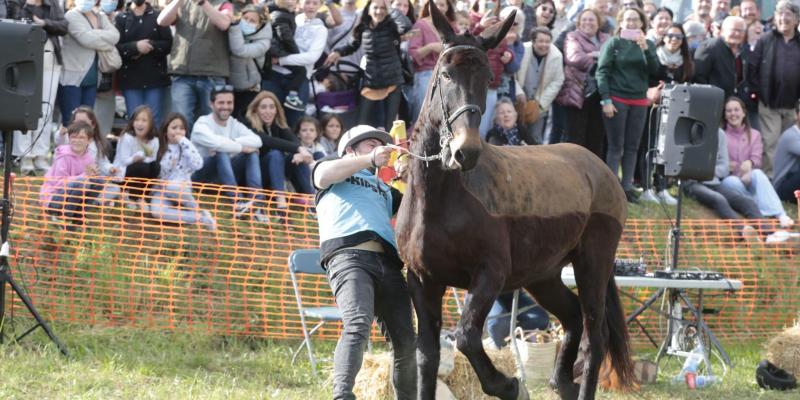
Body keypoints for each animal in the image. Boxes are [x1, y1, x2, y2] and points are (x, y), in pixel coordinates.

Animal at [396, 3, 636, 400]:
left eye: (486, 77)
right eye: (445, 74)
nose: (465, 151)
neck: (439, 200)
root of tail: (600, 168)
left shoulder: (491, 274)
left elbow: (466, 336)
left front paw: (507, 384)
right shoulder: (422, 280)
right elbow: (427, 358)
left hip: (593, 265)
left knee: (595, 337)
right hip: (545, 275)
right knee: (572, 316)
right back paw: (561, 381)